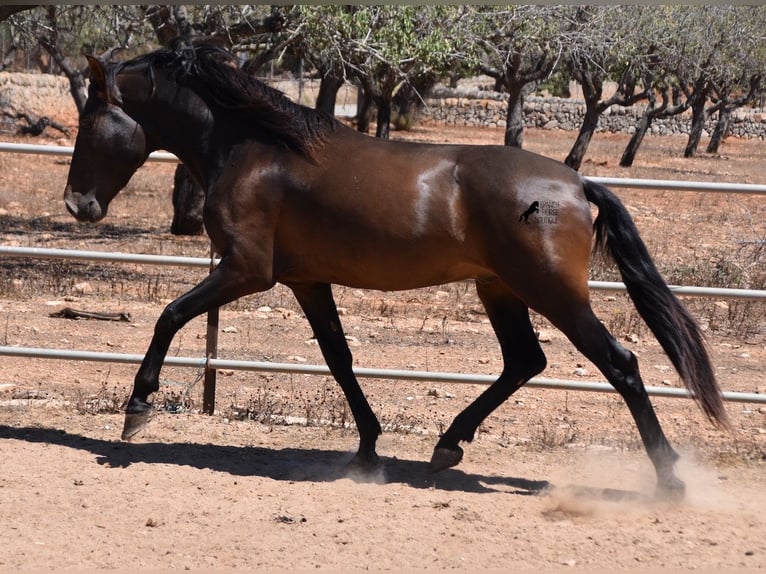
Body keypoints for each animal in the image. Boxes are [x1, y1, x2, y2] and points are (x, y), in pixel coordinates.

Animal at [63, 45, 728, 498]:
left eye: (89, 122)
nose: (77, 204)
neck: (259, 150)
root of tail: (576, 183)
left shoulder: (248, 271)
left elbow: (169, 315)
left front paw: (136, 408)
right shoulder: (306, 280)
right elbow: (339, 359)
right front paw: (366, 451)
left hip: (554, 295)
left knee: (621, 364)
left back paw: (669, 479)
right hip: (500, 288)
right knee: (524, 361)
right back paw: (446, 446)